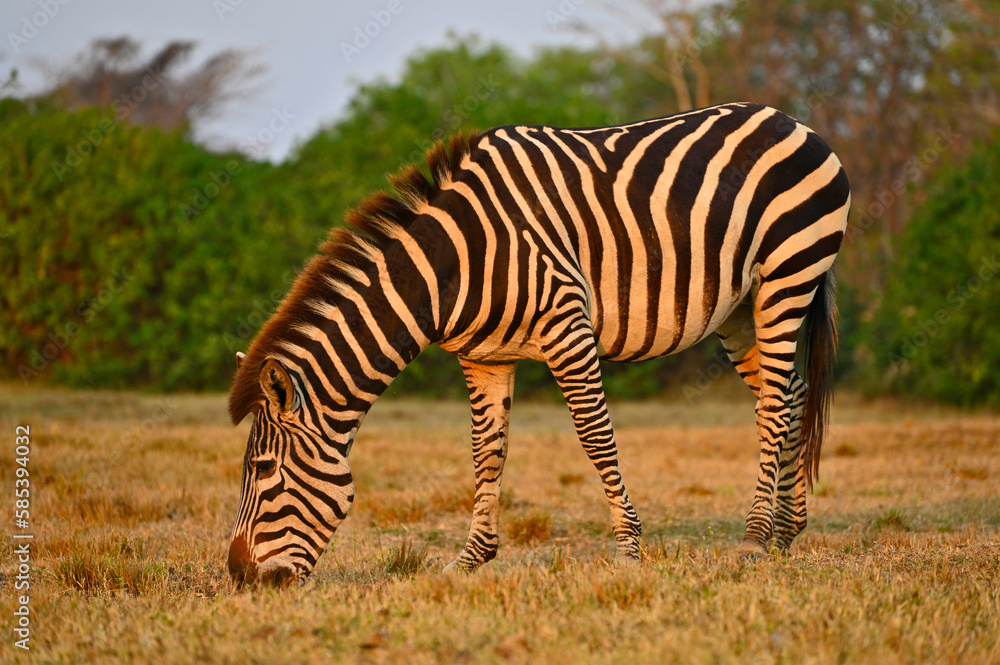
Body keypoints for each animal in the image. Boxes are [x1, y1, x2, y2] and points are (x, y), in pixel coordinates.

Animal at [226, 102, 850, 586]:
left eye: (261, 469)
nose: (238, 577)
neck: (454, 264)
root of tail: (792, 120)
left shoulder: (567, 327)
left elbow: (595, 438)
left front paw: (629, 553)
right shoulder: (482, 357)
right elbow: (486, 452)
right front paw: (470, 560)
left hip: (787, 274)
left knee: (774, 406)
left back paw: (753, 539)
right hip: (740, 309)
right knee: (790, 393)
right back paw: (785, 533)